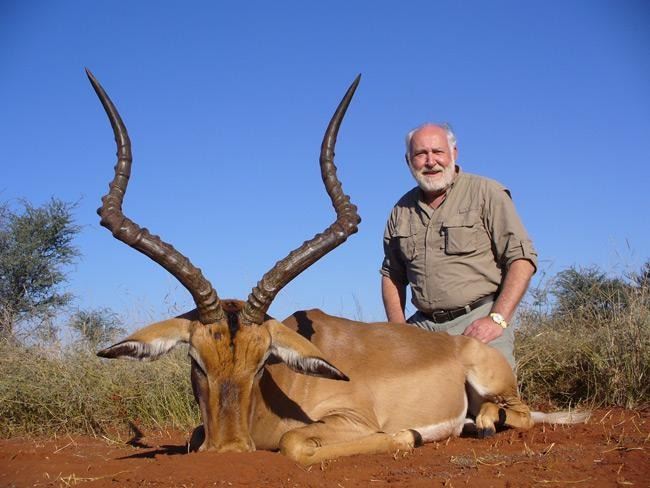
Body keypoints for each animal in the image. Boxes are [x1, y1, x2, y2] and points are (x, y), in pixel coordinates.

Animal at [87, 69, 587, 466]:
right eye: (195, 361)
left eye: (263, 362)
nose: (229, 452)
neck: (278, 393)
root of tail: (462, 343)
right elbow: (194, 437)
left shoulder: (348, 420)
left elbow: (293, 444)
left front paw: (407, 434)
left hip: (494, 382)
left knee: (518, 414)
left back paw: (480, 422)